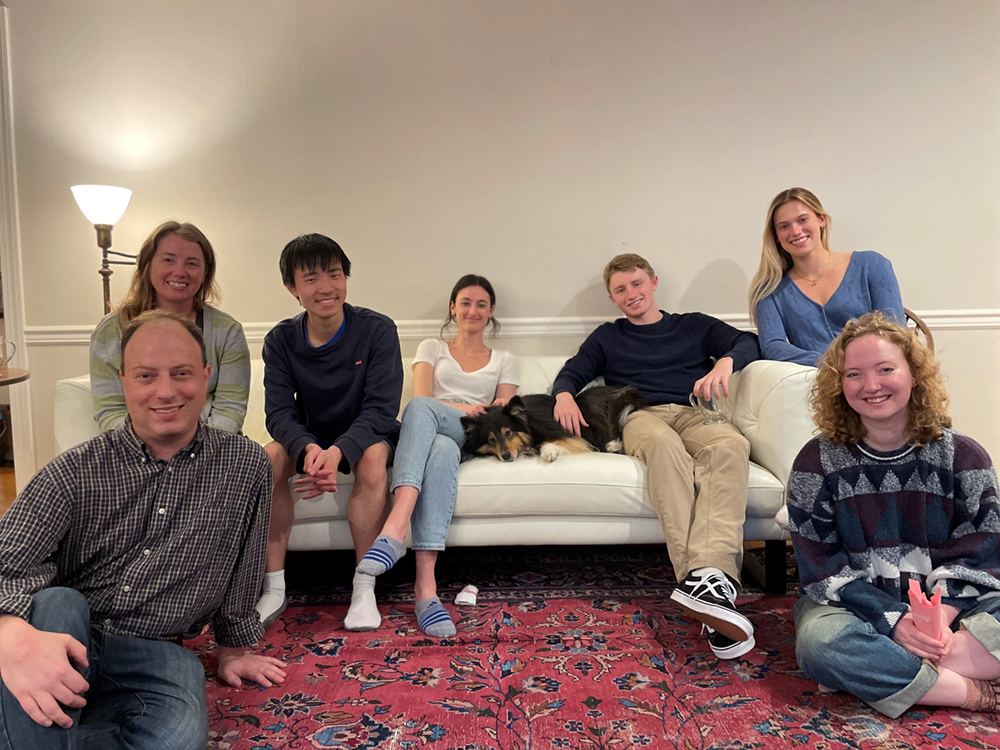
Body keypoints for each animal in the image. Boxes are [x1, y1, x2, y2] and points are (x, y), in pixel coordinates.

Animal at [460, 388, 648, 464]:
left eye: (508, 432)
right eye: (490, 440)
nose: (506, 456)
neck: (527, 421)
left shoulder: (558, 430)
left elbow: (547, 442)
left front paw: (550, 452)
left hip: (588, 405)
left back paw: (613, 445)